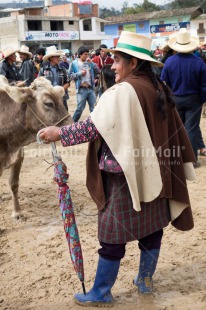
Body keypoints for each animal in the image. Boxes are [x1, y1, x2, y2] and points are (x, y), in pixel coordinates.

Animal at [0, 76, 72, 219]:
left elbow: (14, 183)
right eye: (48, 104)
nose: (72, 124)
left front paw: (17, 212)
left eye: (61, 98)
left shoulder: (19, 156)